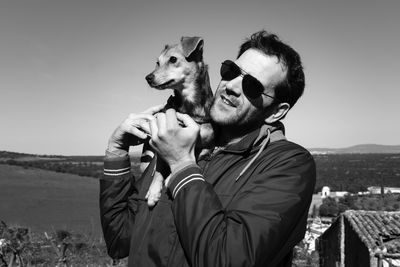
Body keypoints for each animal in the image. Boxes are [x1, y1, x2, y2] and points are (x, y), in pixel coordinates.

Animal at [142, 36, 214, 207]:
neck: (189, 109)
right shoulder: (159, 144)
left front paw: (170, 177)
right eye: (157, 62)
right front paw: (154, 191)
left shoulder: (207, 143)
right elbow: (159, 169)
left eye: (173, 59)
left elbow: (195, 155)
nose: (148, 77)